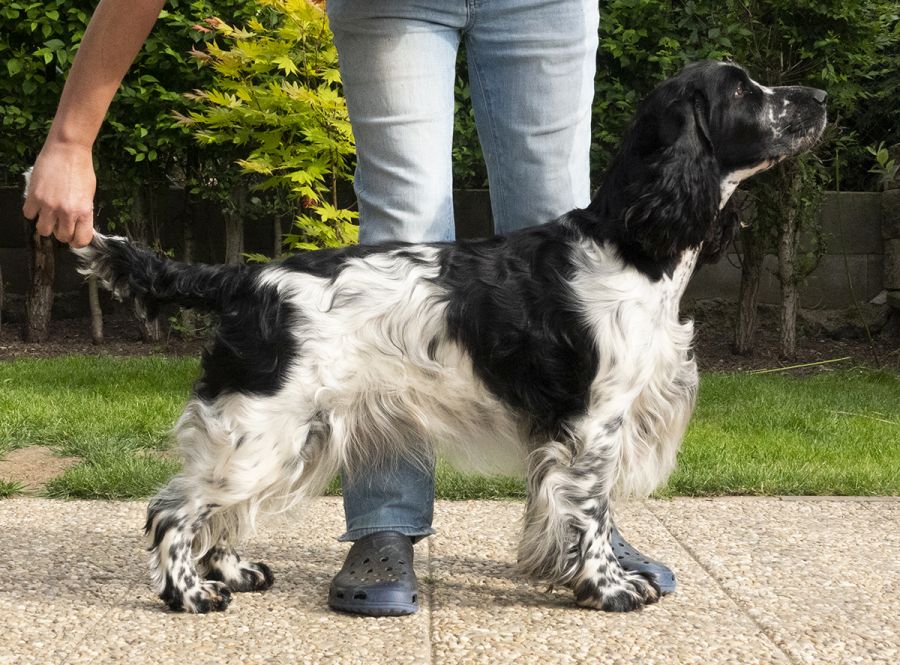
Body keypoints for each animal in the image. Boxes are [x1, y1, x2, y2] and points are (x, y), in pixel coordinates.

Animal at [63, 61, 828, 612]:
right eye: (745, 91)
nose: (820, 96)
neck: (630, 243)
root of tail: (244, 279)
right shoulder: (592, 423)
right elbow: (589, 512)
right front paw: (608, 587)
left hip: (286, 434)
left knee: (221, 514)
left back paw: (234, 571)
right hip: (260, 429)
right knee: (173, 511)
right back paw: (189, 594)